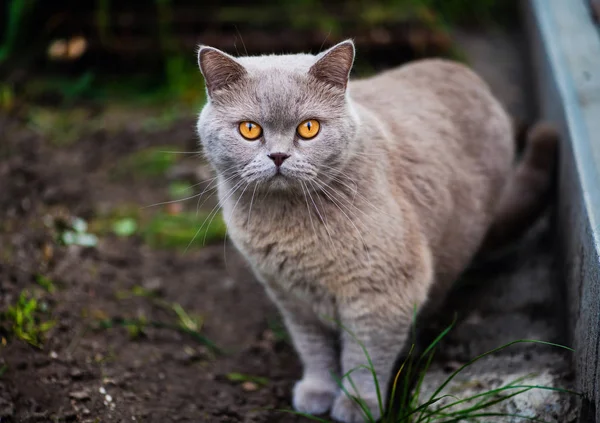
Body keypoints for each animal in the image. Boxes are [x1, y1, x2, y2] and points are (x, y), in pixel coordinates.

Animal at [195, 40, 556, 423]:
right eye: (250, 129)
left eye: (309, 128)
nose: (278, 156)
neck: (291, 226)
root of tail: (465, 73)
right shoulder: (290, 297)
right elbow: (314, 349)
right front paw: (318, 392)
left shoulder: (383, 292)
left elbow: (365, 356)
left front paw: (358, 403)